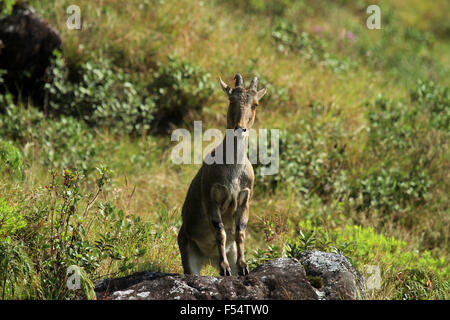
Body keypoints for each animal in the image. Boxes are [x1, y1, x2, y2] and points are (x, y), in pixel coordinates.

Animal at [177, 73, 268, 276]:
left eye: (255, 104)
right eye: (231, 99)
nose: (240, 128)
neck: (233, 173)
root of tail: (208, 258)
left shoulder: (245, 199)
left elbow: (240, 231)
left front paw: (243, 266)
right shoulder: (212, 198)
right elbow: (220, 231)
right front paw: (224, 268)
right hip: (188, 255)